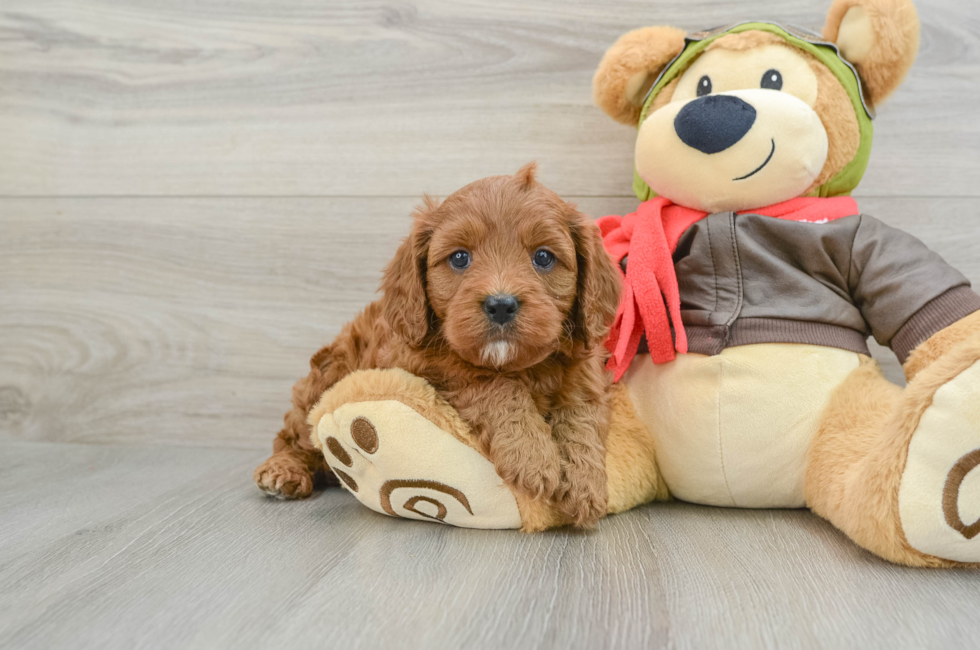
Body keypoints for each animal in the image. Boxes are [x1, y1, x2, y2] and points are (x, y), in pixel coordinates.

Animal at [253, 163, 620, 528]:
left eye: (544, 257)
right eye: (459, 258)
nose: (501, 305)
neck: (520, 365)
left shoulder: (586, 374)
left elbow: (581, 417)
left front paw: (585, 484)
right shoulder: (425, 364)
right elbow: (495, 385)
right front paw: (531, 456)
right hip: (326, 377)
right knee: (292, 435)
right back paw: (282, 470)